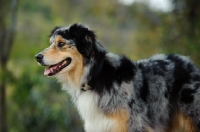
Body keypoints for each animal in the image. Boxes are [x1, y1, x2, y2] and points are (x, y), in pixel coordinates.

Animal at [34, 23, 200, 131]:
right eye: (51, 43)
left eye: (61, 44)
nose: (37, 57)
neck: (95, 77)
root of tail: (191, 64)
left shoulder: (132, 126)